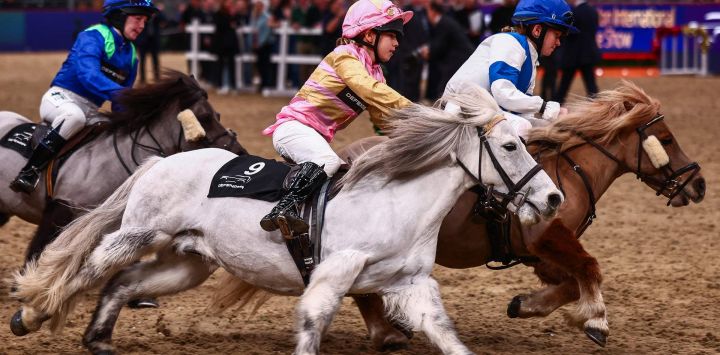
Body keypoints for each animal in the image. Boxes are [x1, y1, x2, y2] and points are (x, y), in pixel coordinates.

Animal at [12, 85, 564, 354]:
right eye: (510, 146)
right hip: (136, 233)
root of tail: (163, 161)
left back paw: (99, 338)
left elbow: (446, 335)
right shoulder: (334, 272)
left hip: (189, 262)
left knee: (124, 283)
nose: (553, 197)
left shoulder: (412, 285)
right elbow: (313, 319)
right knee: (89, 268)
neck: (395, 202)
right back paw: (31, 316)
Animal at [340, 80, 704, 350]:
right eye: (666, 140)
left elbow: (572, 285)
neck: (570, 173)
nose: (699, 184)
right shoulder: (547, 237)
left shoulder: (540, 257)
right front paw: (597, 320)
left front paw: (527, 305)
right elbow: (590, 268)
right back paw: (387, 333)